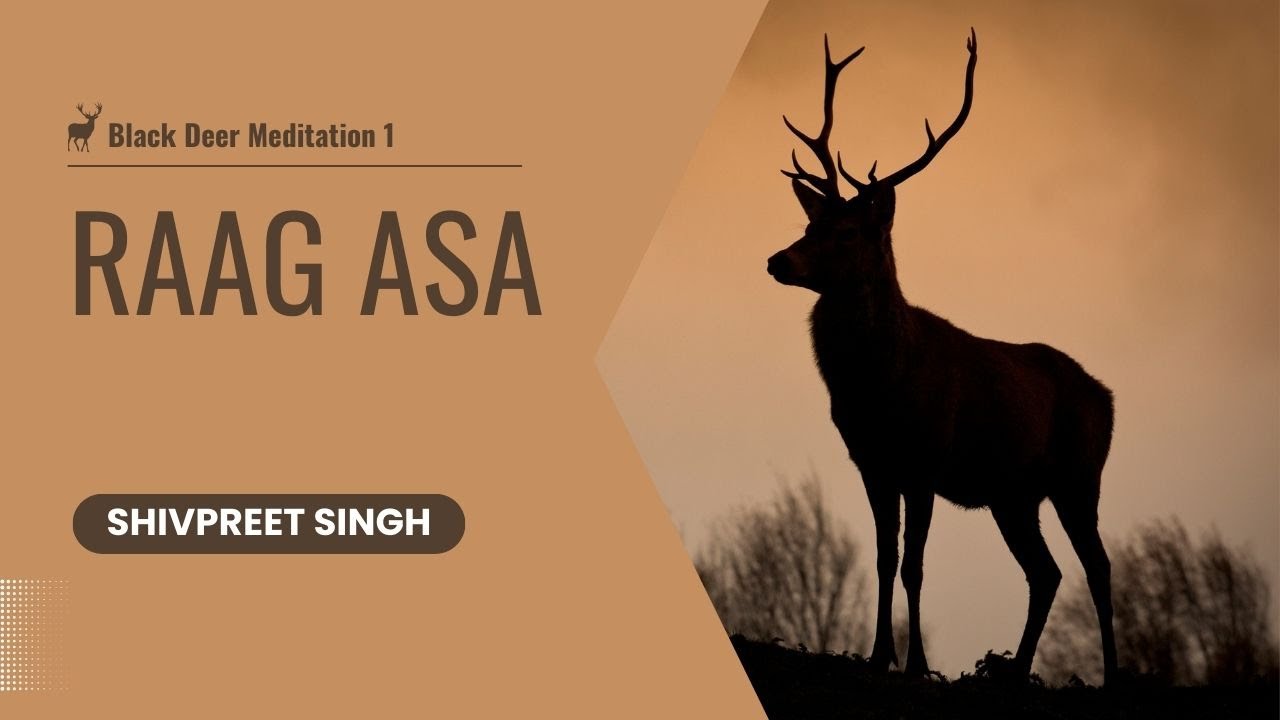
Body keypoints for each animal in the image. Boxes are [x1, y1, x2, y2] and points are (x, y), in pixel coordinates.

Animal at [766, 29, 1119, 685]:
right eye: (809, 223)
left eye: (847, 232)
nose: (778, 259)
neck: (879, 387)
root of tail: (1106, 396)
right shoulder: (871, 462)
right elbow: (884, 558)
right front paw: (879, 656)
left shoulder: (926, 459)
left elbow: (915, 565)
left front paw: (916, 667)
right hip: (1014, 495)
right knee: (1047, 572)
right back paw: (1013, 671)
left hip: (1080, 475)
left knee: (1098, 567)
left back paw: (1111, 675)